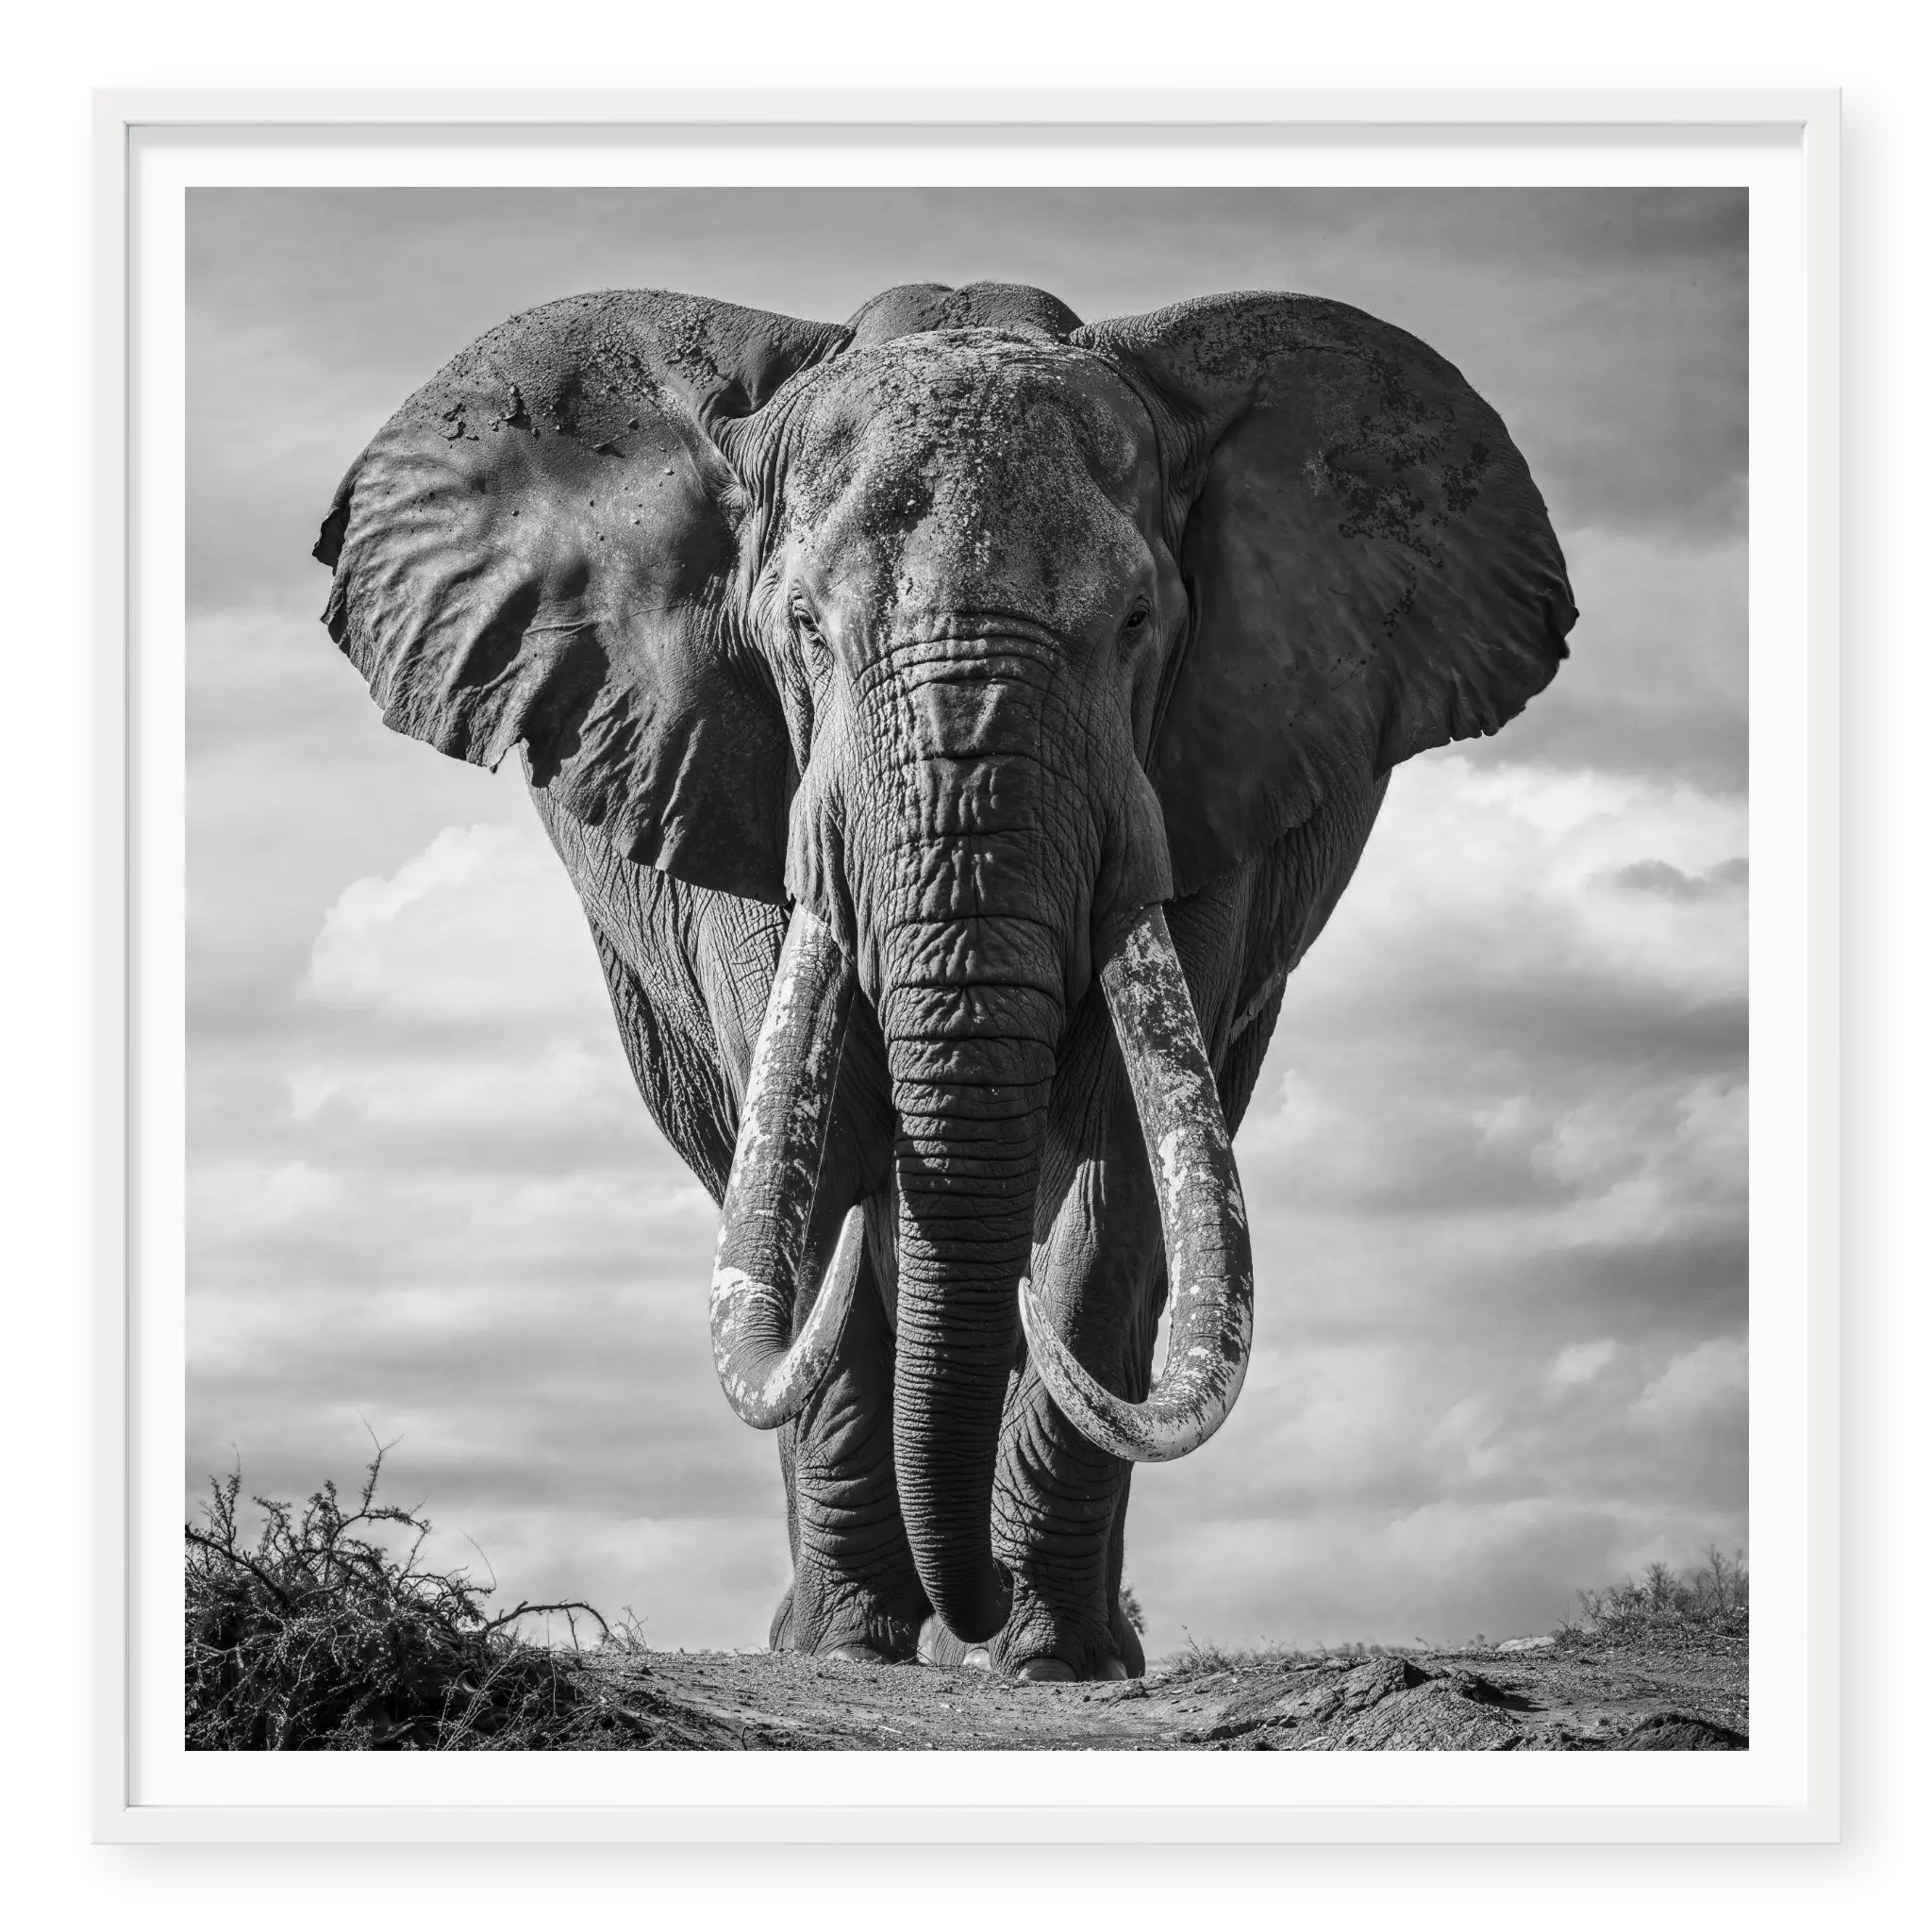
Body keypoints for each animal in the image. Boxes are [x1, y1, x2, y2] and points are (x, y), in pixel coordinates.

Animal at [312, 279, 1575, 1683]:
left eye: (1136, 626)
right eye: (803, 630)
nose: (960, 1608)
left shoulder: (1207, 788)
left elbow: (1114, 1171)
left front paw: (1053, 1659)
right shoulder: (732, 780)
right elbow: (816, 1166)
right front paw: (851, 1648)